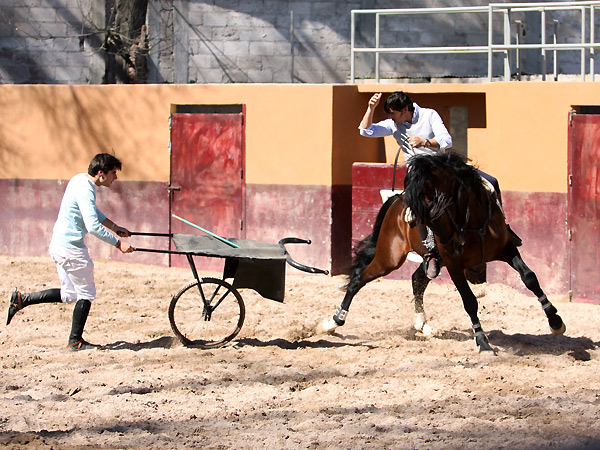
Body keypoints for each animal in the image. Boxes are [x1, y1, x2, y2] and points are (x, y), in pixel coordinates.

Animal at [318, 153, 568, 354]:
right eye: (419, 219)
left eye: (436, 208)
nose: (451, 244)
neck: (472, 224)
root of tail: (394, 202)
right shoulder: (454, 265)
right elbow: (469, 301)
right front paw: (483, 343)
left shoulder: (507, 249)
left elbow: (530, 278)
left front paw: (556, 321)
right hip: (390, 258)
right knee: (358, 279)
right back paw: (333, 322)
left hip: (427, 262)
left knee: (416, 279)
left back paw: (422, 324)